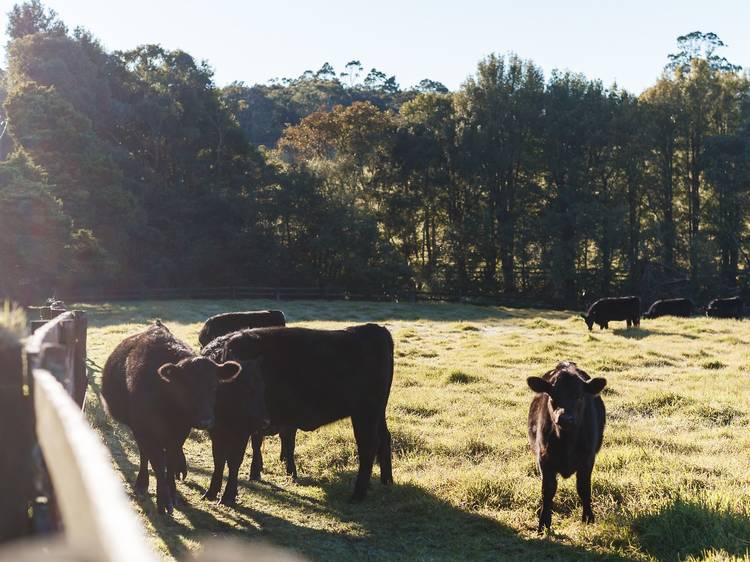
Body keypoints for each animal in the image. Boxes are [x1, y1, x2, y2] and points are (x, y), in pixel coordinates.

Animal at [100, 320, 241, 512]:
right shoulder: (144, 429)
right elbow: (158, 462)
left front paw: (172, 492)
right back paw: (142, 482)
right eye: (185, 387)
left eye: (214, 386)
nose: (206, 421)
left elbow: (171, 458)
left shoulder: (180, 430)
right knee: (145, 454)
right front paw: (163, 499)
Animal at [201, 326, 298, 500]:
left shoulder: (242, 431)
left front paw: (228, 495)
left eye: (263, 387)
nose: (265, 421)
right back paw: (255, 471)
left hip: (288, 423)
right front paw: (211, 492)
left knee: (289, 443)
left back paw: (291, 471)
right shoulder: (216, 431)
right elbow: (219, 459)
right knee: (259, 445)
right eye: (245, 388)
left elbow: (234, 460)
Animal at [223, 322, 396, 500]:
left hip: (365, 413)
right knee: (384, 437)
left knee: (368, 445)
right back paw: (386, 481)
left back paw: (358, 495)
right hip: (377, 412)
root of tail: (375, 329)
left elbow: (237, 455)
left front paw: (229, 494)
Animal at [524, 358, 608, 528]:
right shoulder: (544, 458)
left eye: (580, 396)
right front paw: (544, 522)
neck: (567, 442)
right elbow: (548, 490)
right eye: (552, 396)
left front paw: (588, 518)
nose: (565, 418)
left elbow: (584, 488)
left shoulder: (587, 459)